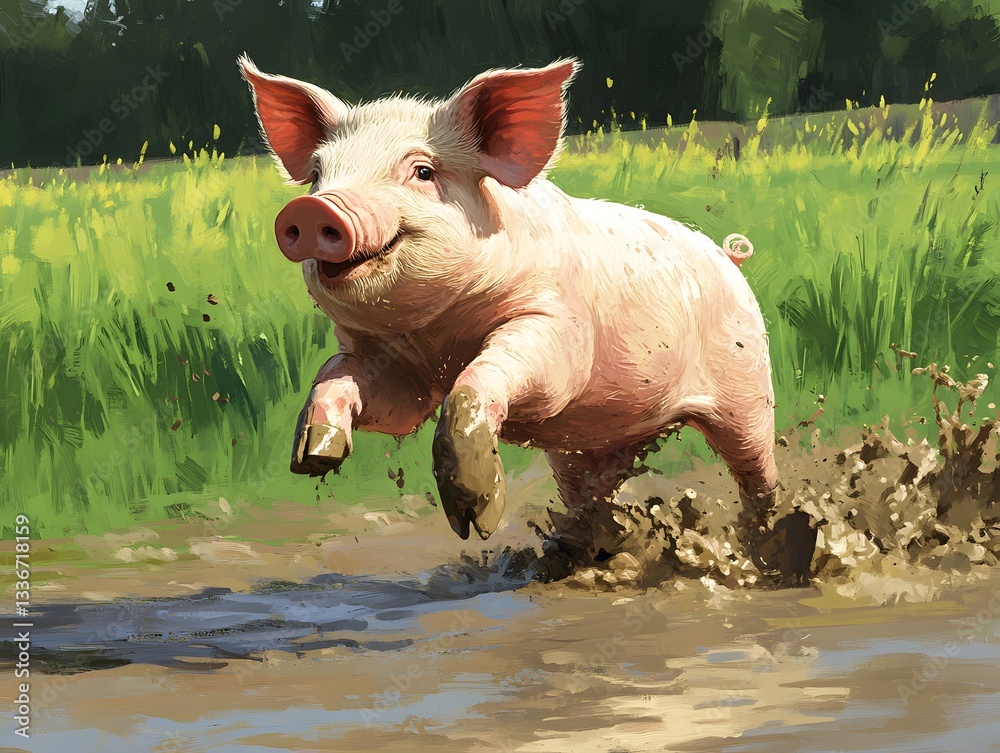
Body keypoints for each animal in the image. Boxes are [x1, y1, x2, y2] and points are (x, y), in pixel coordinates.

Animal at [239, 56, 782, 573]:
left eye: (422, 172)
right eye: (317, 174)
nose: (312, 209)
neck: (439, 334)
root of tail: (730, 258)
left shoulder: (555, 328)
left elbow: (484, 379)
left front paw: (476, 523)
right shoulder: (396, 371)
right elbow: (349, 380)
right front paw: (314, 457)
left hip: (747, 389)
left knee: (756, 471)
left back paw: (763, 546)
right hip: (583, 447)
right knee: (591, 497)